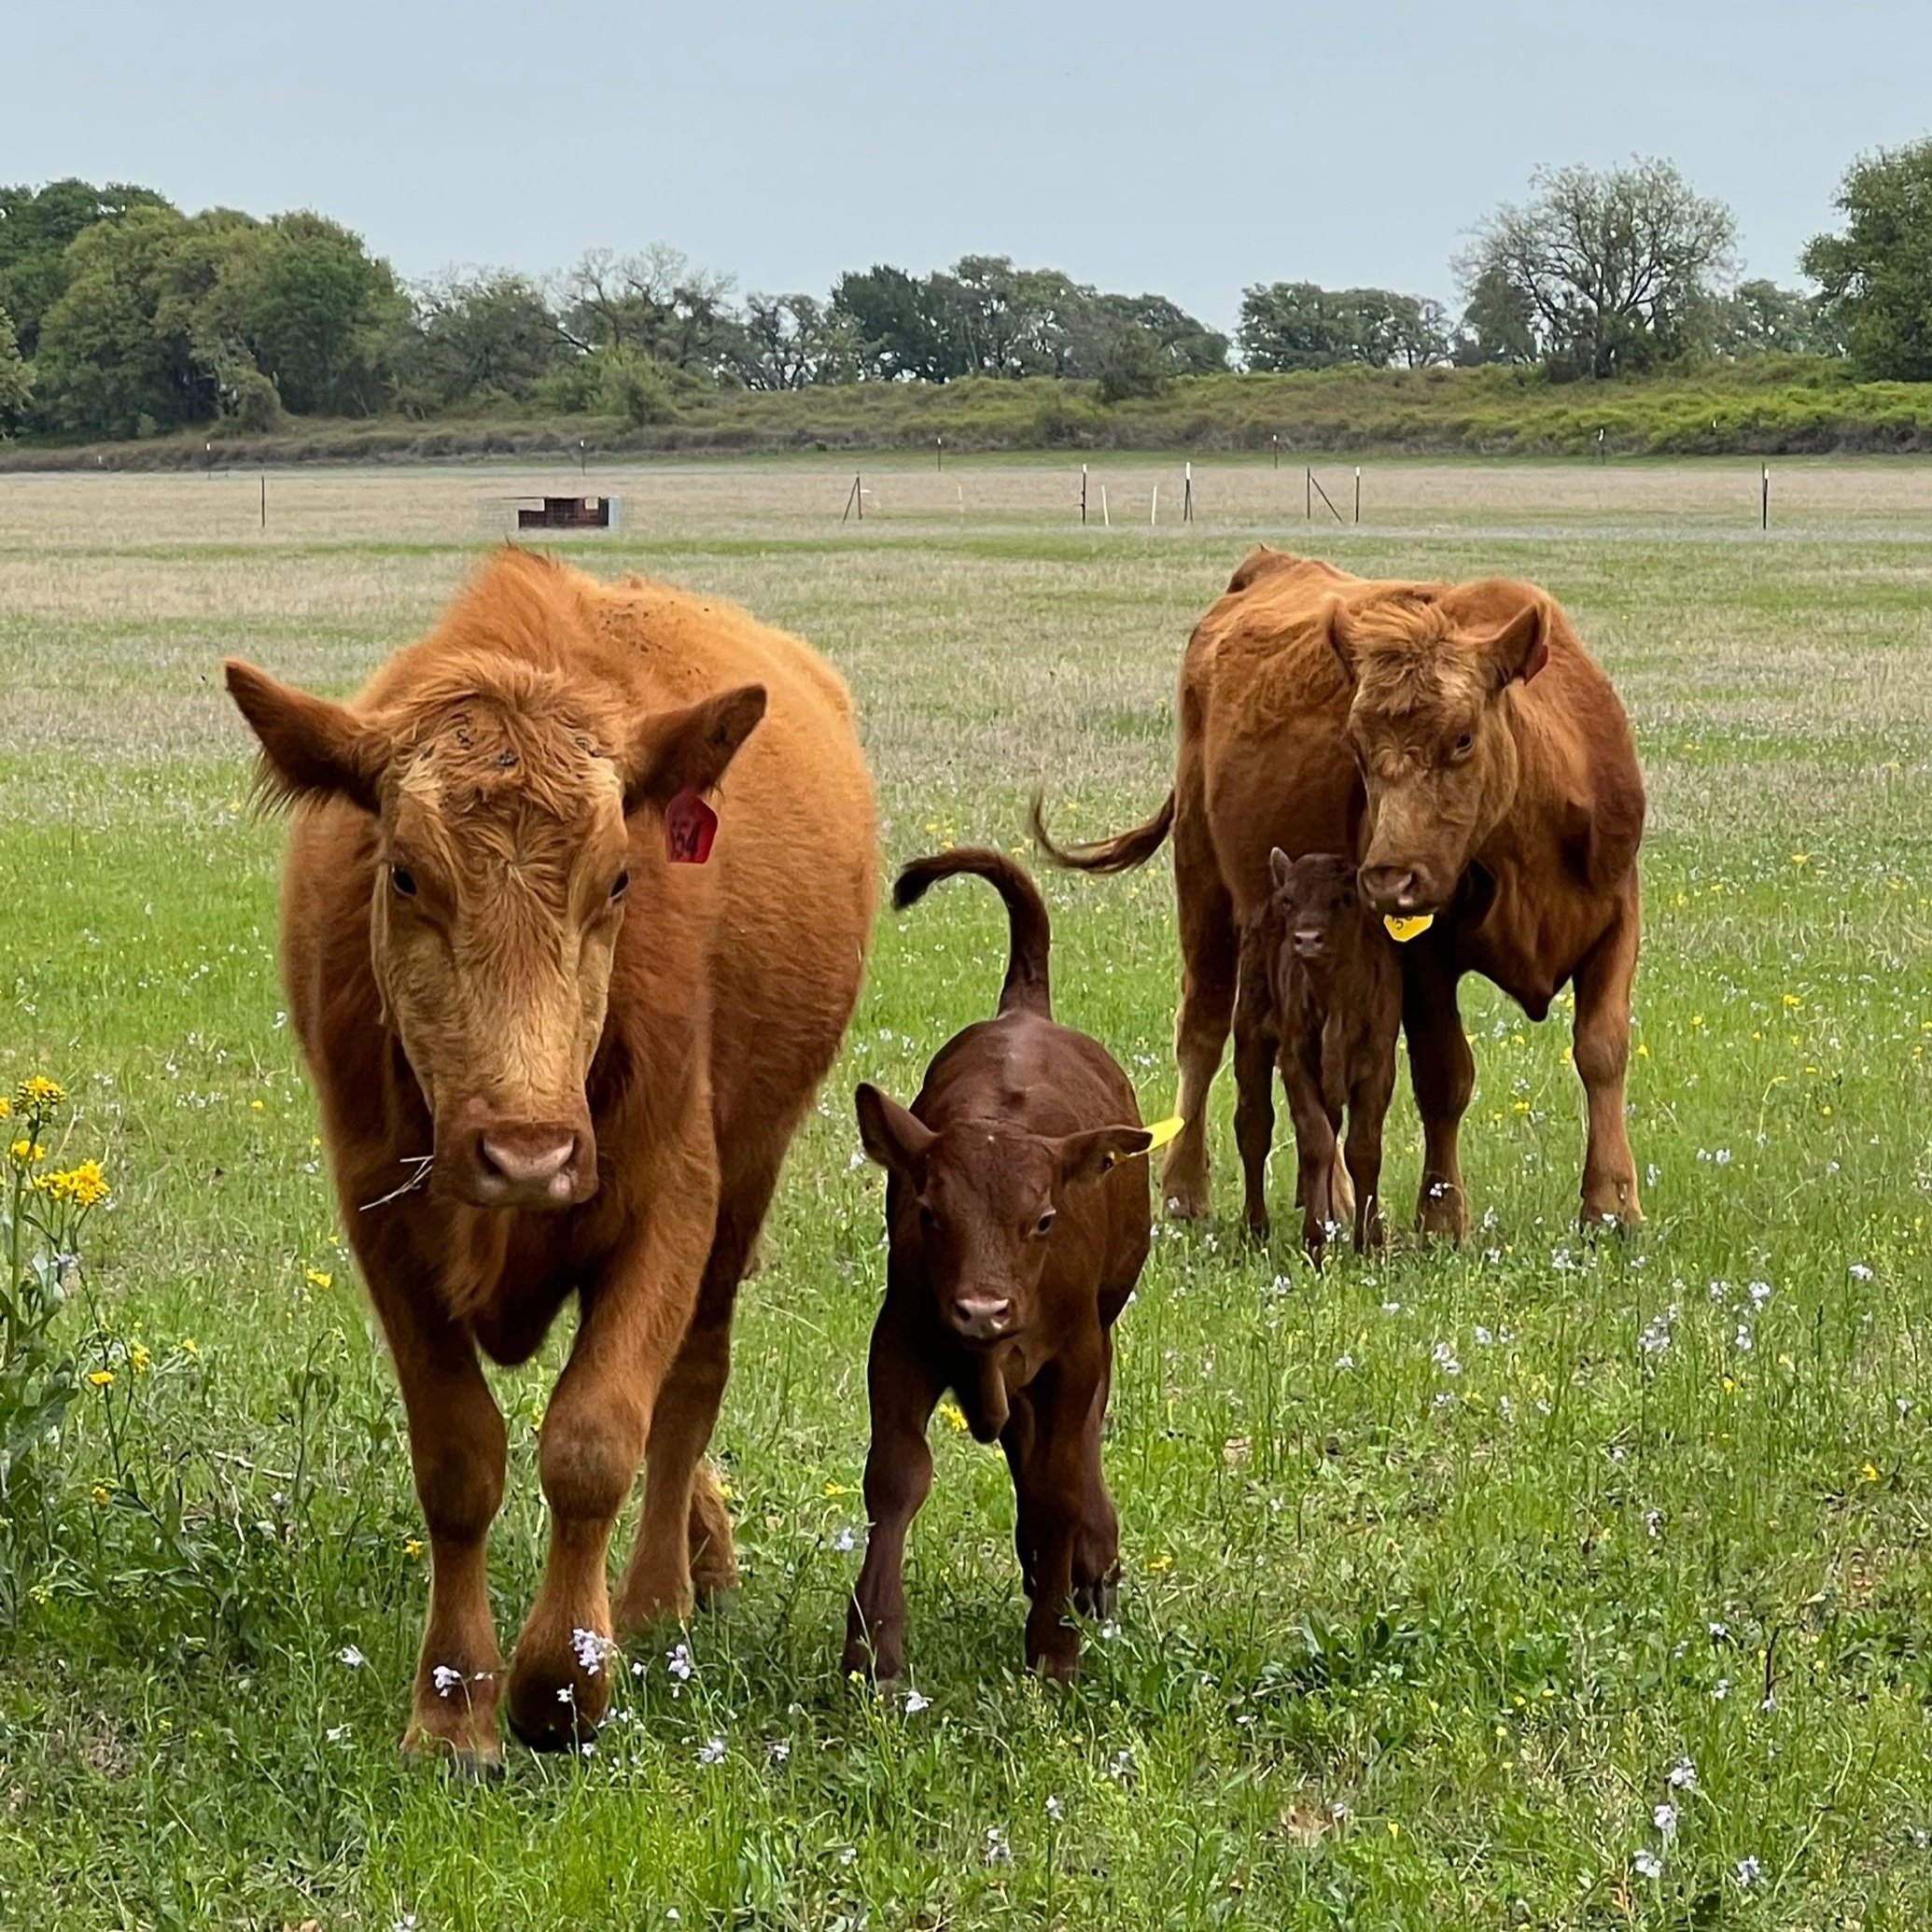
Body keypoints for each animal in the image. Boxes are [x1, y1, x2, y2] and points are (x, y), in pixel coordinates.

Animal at [223, 548, 875, 1772]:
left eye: (617, 880)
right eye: (406, 875)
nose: (527, 1151)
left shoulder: (675, 1197)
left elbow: (597, 1439)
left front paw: (564, 1679)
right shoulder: (383, 1218)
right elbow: (459, 1458)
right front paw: (451, 1705)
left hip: (749, 1176)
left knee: (691, 1379)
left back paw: (664, 1594)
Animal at [845, 850, 1152, 1684]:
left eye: (1043, 1220)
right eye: (928, 1213)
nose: (982, 1310)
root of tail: (1027, 1009)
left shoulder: (1075, 1350)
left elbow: (1060, 1483)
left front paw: (1054, 1644)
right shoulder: (903, 1338)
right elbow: (897, 1475)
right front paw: (873, 1647)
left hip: (1098, 1322)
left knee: (1072, 1447)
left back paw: (1088, 1565)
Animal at [1233, 850, 1401, 1257]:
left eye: (1343, 899)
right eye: (1290, 900)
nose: (1307, 939)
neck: (1335, 1000)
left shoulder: (1379, 1067)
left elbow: (1362, 1149)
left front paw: (1369, 1242)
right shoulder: (1296, 1062)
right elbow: (1316, 1143)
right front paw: (1314, 1240)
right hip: (1250, 1035)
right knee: (1253, 1127)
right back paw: (1255, 1228)